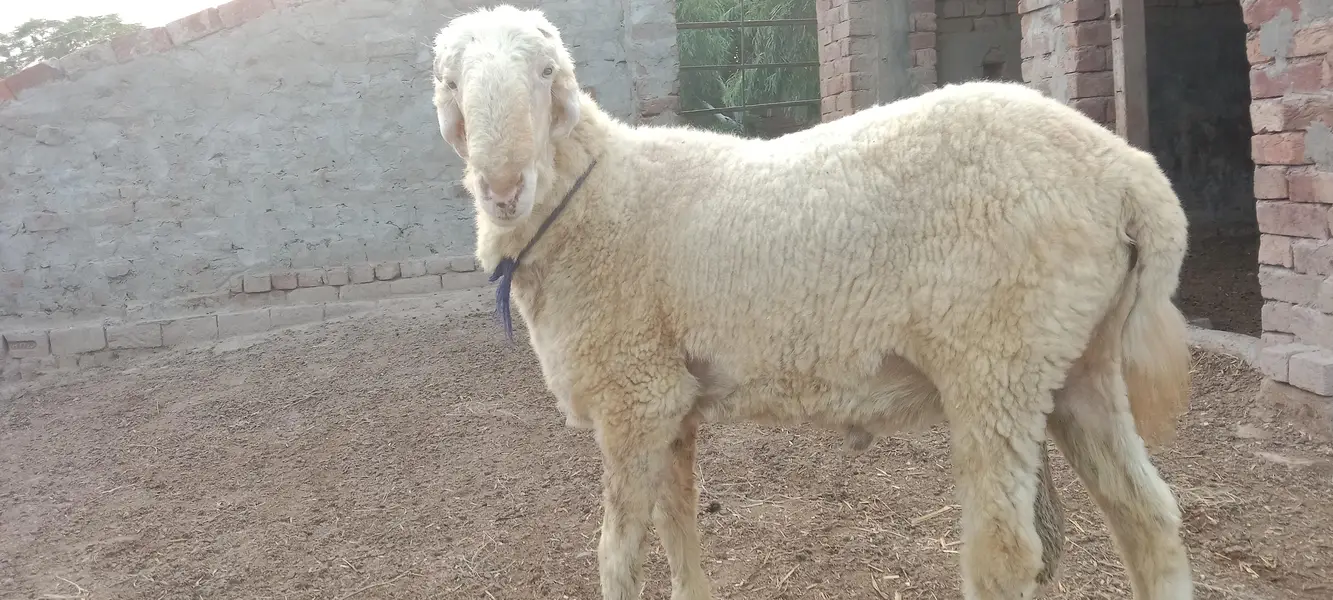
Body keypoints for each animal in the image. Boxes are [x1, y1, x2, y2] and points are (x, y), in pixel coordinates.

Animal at [429, 5, 1194, 600]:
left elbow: (616, 555)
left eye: (544, 73)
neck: (592, 196)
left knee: (1007, 553)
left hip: (996, 358)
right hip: (1077, 359)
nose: (502, 189)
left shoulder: (634, 394)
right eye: (451, 82)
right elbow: (679, 526)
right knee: (1149, 518)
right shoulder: (671, 398)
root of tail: (1126, 172)